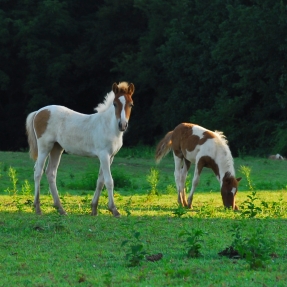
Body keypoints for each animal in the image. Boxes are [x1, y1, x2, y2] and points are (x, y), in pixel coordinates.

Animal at [25, 82, 135, 217]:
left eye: (131, 104)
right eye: (115, 104)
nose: (122, 125)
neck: (108, 126)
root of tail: (39, 112)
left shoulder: (110, 157)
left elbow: (100, 181)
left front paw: (94, 209)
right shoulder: (104, 155)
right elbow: (109, 181)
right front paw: (114, 210)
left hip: (56, 148)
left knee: (50, 173)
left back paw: (61, 209)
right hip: (45, 147)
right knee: (38, 172)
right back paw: (38, 208)